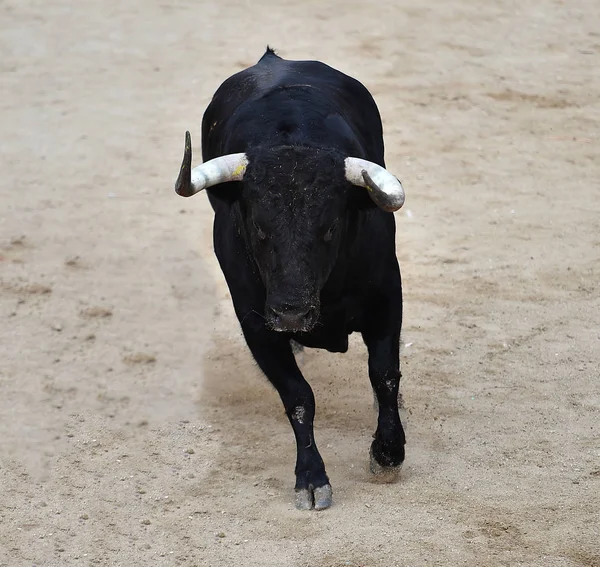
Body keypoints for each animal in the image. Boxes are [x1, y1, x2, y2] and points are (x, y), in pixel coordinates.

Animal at [173, 47, 408, 510]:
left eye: (330, 226)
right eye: (258, 226)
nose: (292, 314)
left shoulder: (388, 296)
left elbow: (384, 373)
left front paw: (388, 452)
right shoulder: (256, 323)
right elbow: (299, 397)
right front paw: (311, 479)